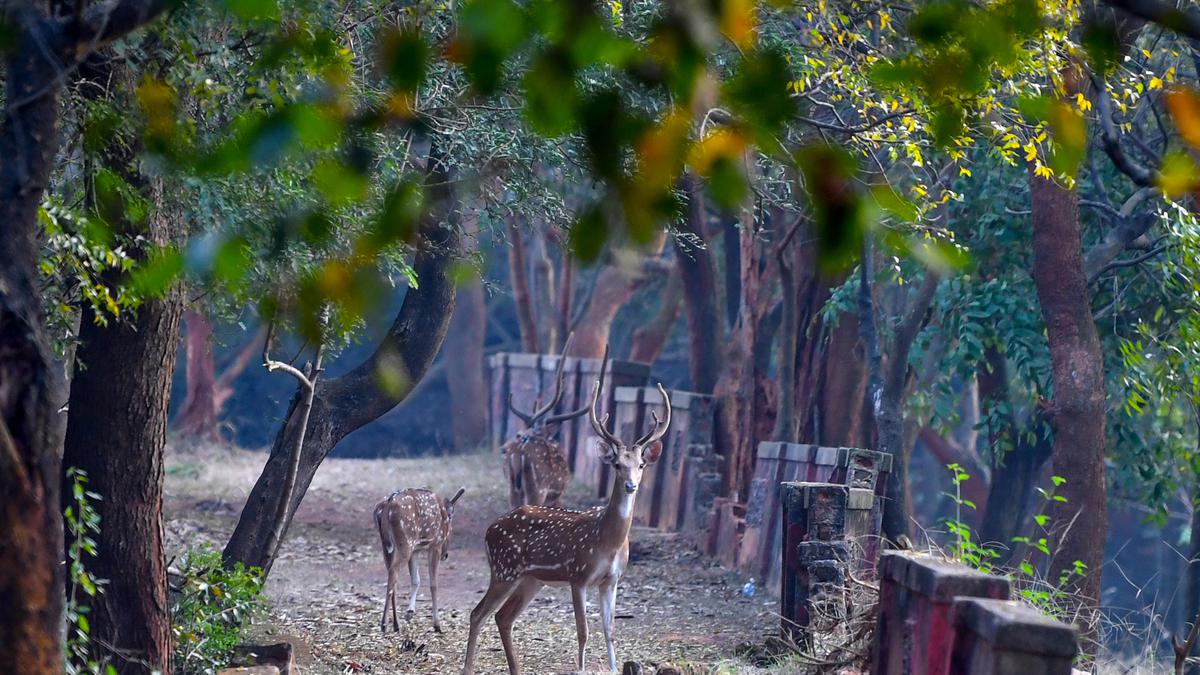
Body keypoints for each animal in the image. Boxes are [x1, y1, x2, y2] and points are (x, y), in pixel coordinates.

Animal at [372, 482, 465, 629]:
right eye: (452, 529)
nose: (445, 555)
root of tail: (386, 507)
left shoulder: (416, 550)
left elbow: (416, 580)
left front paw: (410, 612)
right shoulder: (435, 545)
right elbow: (433, 583)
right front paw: (437, 624)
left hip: (387, 545)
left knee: (392, 575)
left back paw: (396, 624)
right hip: (405, 542)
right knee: (393, 572)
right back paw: (384, 624)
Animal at [499, 331, 588, 504]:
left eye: (519, 434)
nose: (503, 449)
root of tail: (518, 454)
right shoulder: (555, 496)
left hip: (514, 490)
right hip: (538, 489)